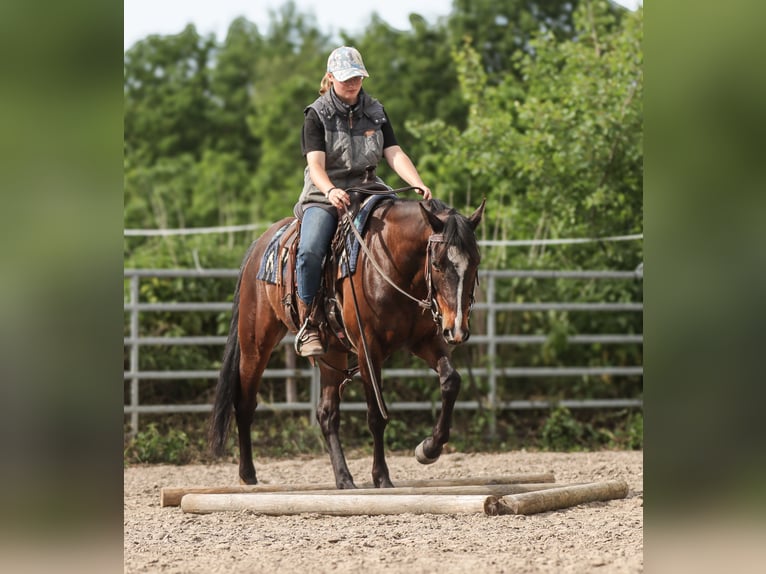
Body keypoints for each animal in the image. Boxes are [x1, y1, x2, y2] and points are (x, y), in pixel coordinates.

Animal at [208, 195, 485, 488]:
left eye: (475, 262)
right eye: (437, 264)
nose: (457, 329)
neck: (390, 263)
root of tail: (259, 245)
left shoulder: (425, 340)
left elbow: (451, 381)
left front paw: (428, 449)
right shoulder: (368, 349)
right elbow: (376, 415)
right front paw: (381, 477)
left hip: (332, 353)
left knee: (327, 414)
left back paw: (344, 478)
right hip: (255, 344)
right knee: (245, 403)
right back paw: (247, 475)